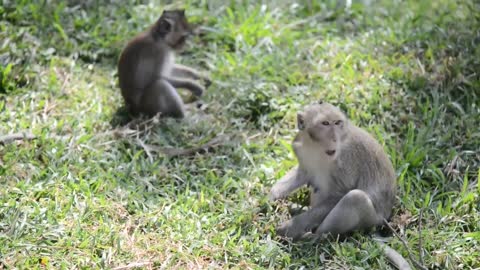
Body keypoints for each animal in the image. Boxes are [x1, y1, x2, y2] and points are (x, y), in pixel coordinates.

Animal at [270, 100, 412, 270]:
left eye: (337, 123)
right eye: (325, 123)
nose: (333, 138)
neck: (315, 146)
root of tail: (384, 219)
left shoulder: (345, 158)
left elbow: (341, 193)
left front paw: (291, 227)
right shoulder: (300, 148)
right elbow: (304, 173)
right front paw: (273, 194)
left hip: (371, 220)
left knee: (355, 198)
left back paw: (315, 236)